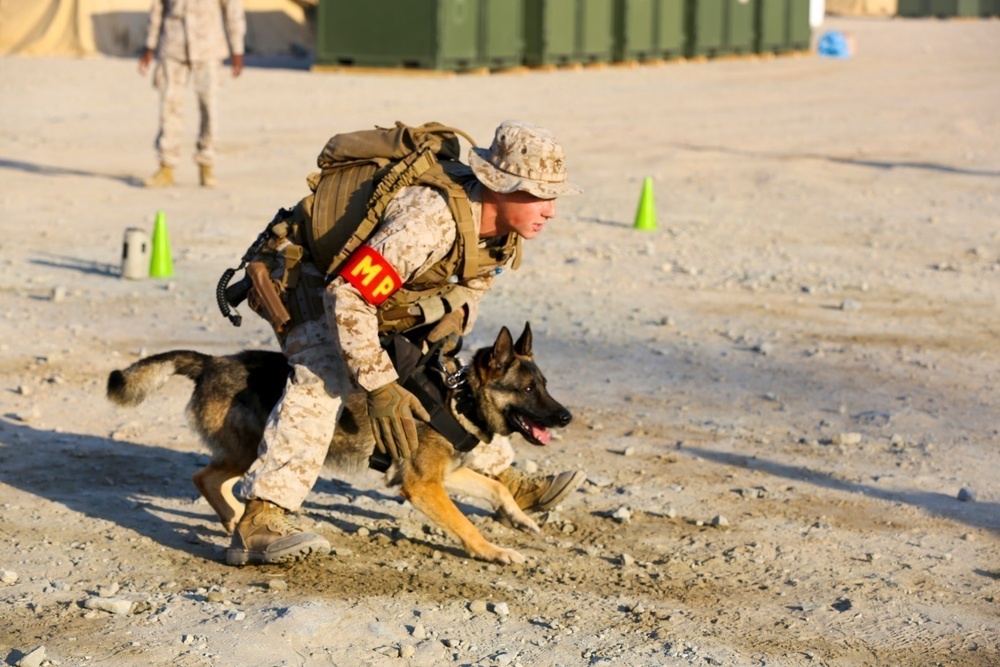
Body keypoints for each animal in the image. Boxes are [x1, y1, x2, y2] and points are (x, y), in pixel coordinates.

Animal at [107, 326, 572, 568]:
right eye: (527, 389)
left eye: (546, 385)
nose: (566, 417)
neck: (460, 396)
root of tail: (212, 362)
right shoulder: (423, 487)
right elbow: (466, 524)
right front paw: (492, 551)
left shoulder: (444, 476)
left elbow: (496, 487)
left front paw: (518, 519)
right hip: (254, 448)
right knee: (205, 477)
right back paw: (240, 522)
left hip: (244, 450)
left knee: (207, 477)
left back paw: (235, 521)